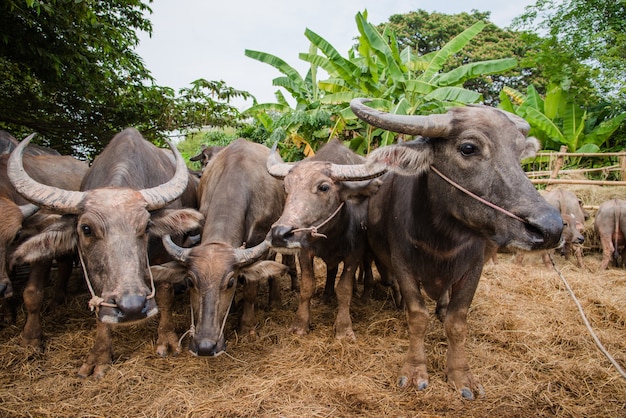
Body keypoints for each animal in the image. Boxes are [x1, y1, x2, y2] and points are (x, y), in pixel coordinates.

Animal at [7, 129, 202, 378]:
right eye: (86, 229)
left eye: (146, 226)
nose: (132, 307)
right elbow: (100, 305)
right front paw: (99, 356)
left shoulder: (165, 255)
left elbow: (165, 295)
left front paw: (166, 340)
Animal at [156, 139, 292, 354]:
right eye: (190, 281)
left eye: (230, 282)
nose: (205, 346)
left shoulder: (259, 240)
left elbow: (252, 287)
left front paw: (247, 327)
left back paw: (274, 301)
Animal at [264, 139, 382, 342]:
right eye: (286, 188)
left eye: (324, 187)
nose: (280, 234)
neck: (331, 235)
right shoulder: (304, 251)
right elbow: (307, 287)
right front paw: (300, 325)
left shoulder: (354, 253)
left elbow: (344, 289)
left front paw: (343, 329)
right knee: (331, 269)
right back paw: (327, 295)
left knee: (366, 268)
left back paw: (363, 296)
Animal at [342, 98, 560, 398]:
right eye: (468, 148)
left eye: (518, 153)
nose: (550, 227)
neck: (442, 238)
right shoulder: (402, 263)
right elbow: (417, 316)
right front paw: (415, 371)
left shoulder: (474, 268)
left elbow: (457, 322)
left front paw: (461, 376)